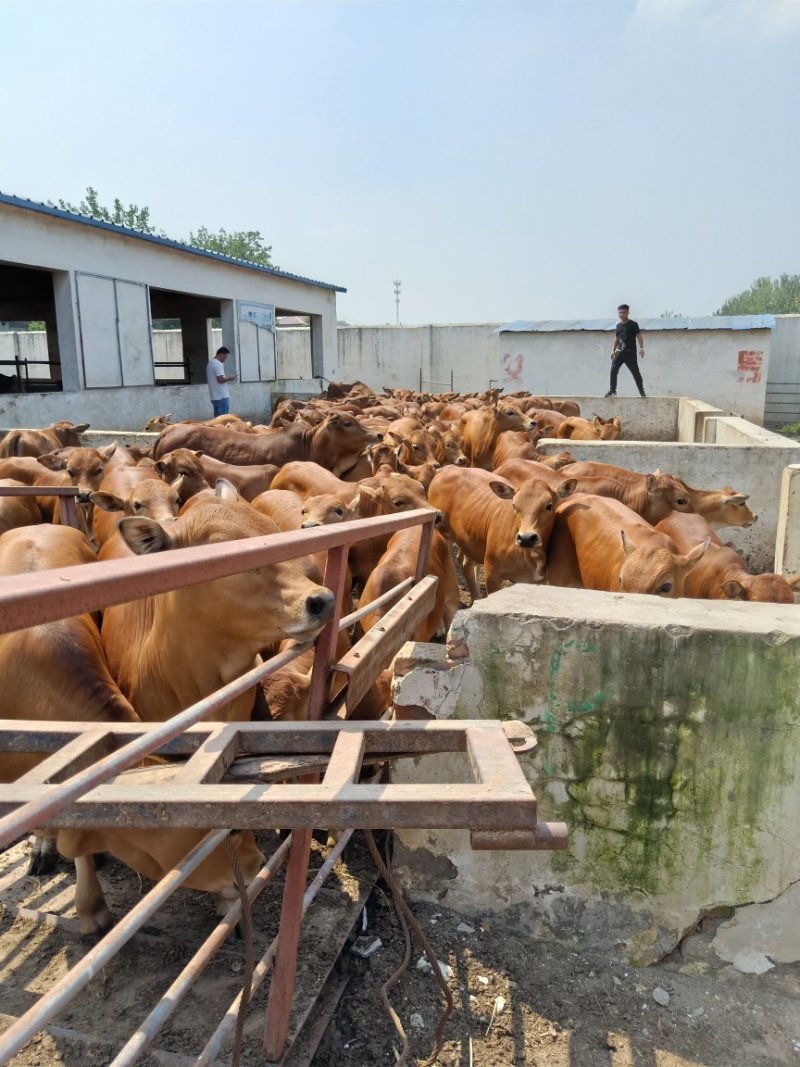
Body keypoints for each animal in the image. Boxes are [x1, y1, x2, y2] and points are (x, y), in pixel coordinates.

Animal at [433, 467, 576, 601]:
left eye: (549, 506)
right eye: (514, 505)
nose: (526, 538)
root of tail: (448, 468)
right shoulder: (492, 572)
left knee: (465, 562)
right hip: (443, 532)